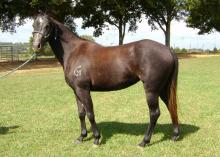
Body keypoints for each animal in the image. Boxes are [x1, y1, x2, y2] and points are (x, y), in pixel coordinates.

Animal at [31, 12, 180, 147]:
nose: (36, 46)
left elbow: (90, 113)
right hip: (162, 88)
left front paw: (96, 139)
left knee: (154, 113)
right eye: (34, 24)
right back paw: (175, 135)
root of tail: (168, 50)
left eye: (47, 25)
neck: (73, 52)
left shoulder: (83, 90)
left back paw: (144, 141)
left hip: (151, 89)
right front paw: (81, 137)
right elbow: (81, 113)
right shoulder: (76, 91)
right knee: (171, 106)